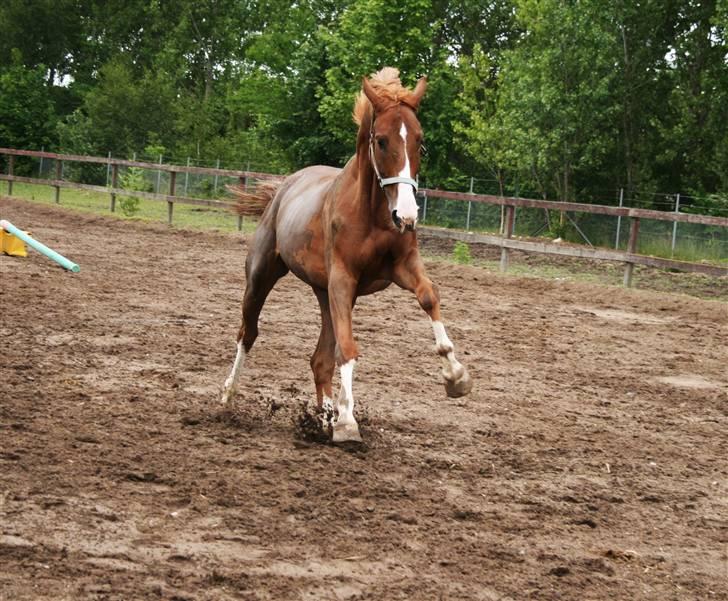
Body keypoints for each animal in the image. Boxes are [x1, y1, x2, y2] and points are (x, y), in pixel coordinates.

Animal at [222, 69, 472, 440]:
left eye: (420, 141)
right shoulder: (344, 277)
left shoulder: (402, 267)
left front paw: (456, 376)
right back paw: (228, 394)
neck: (371, 213)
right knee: (248, 333)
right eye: (381, 140)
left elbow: (428, 296)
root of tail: (284, 187)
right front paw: (348, 422)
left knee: (320, 359)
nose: (407, 215)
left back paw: (326, 416)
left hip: (326, 293)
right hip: (263, 275)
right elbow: (348, 348)